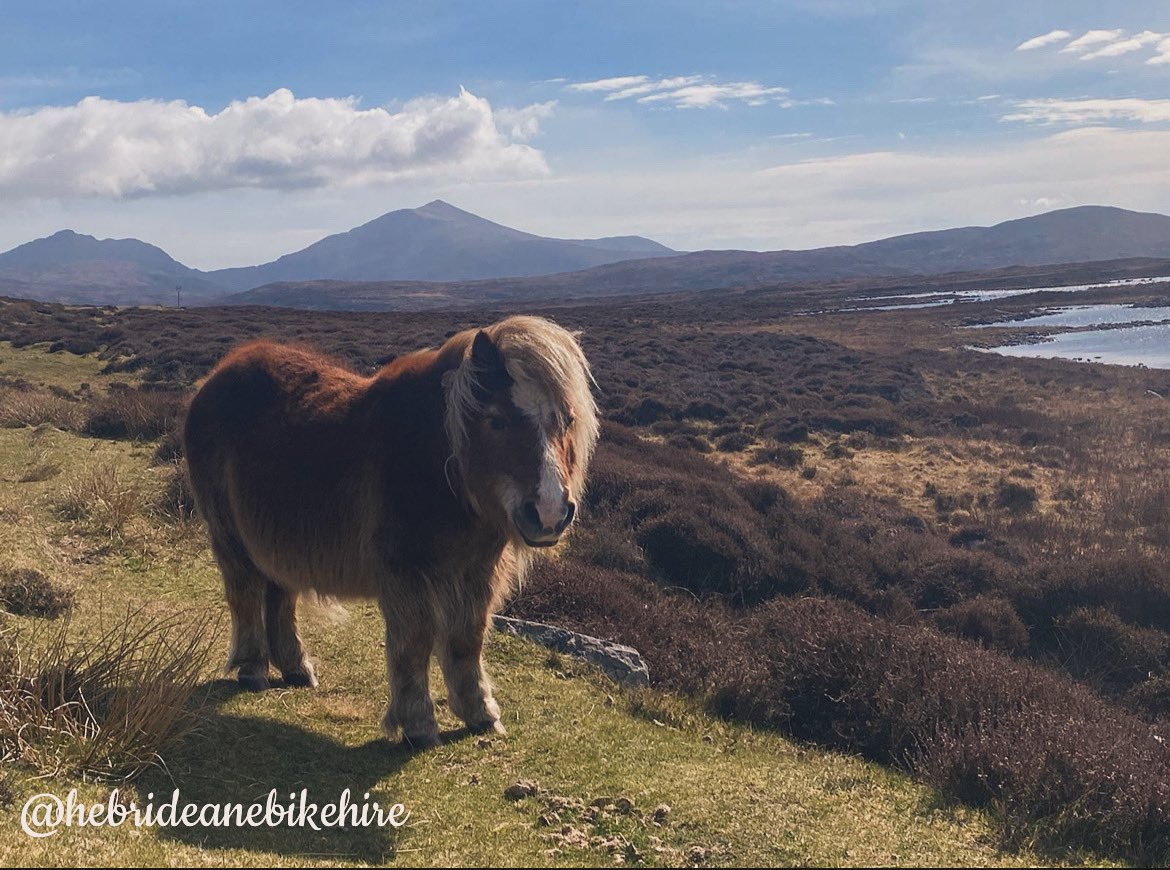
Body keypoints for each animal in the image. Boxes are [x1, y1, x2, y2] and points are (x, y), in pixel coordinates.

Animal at [184, 315, 603, 743]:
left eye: (568, 419)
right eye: (497, 420)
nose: (550, 512)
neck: (437, 460)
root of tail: (218, 373)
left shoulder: (476, 572)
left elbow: (468, 638)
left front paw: (480, 713)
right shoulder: (405, 572)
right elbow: (414, 642)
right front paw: (418, 724)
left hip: (276, 540)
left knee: (280, 597)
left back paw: (297, 669)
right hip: (231, 538)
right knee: (245, 593)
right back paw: (253, 670)